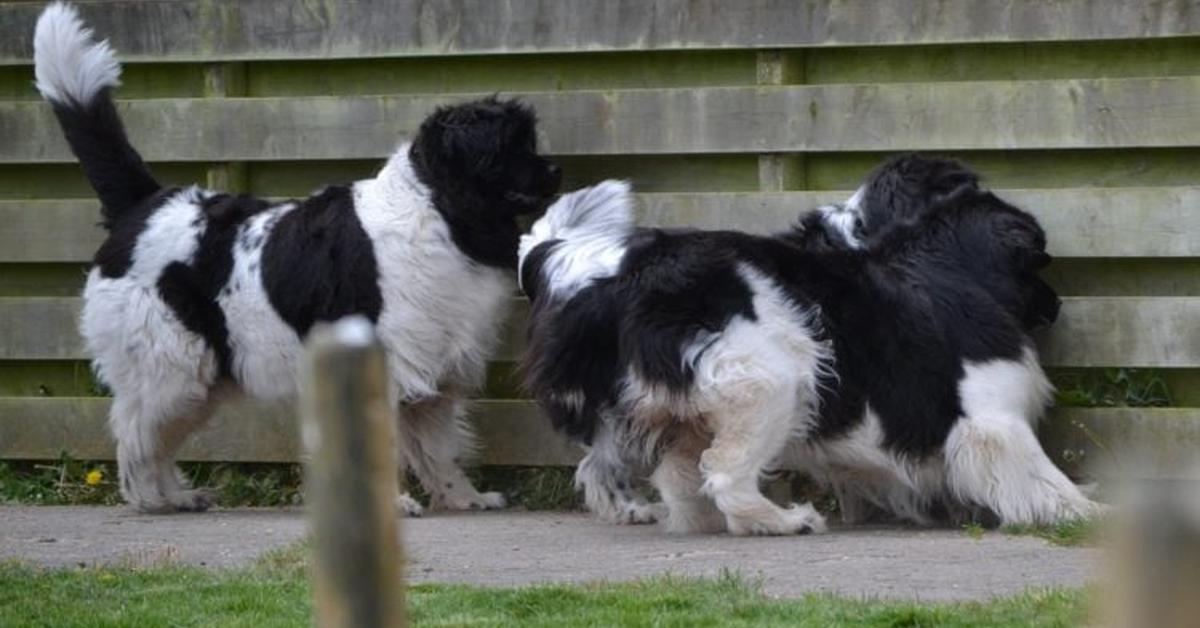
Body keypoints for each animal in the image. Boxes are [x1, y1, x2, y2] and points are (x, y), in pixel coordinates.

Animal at [35, 2, 559, 516]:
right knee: (136, 433)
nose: (556, 169)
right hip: (171, 368)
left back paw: (178, 497)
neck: (438, 206)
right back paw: (151, 500)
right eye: (511, 149)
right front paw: (392, 504)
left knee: (157, 437)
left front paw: (465, 498)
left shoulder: (434, 370)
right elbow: (385, 446)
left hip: (196, 379)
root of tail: (144, 203)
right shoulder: (386, 365)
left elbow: (439, 448)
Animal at [516, 162, 1099, 535]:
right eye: (1040, 262)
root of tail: (628, 275)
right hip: (773, 382)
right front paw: (1089, 512)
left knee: (675, 478)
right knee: (722, 473)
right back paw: (782, 522)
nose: (1058, 305)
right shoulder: (992, 420)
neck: (944, 266)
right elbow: (1042, 477)